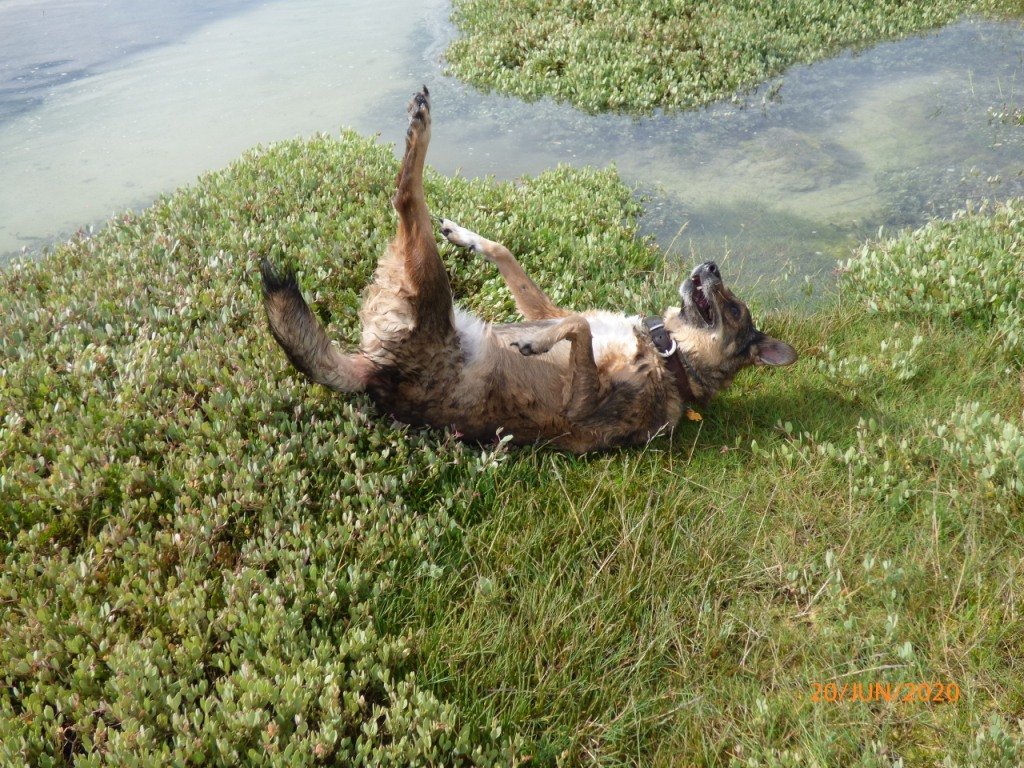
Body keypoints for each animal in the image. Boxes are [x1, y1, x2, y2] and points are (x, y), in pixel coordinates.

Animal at [260, 87, 797, 453]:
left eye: (733, 308)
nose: (711, 264)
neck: (670, 353)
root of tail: (375, 374)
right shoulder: (546, 305)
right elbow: (515, 264)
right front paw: (471, 237)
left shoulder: (582, 405)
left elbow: (575, 327)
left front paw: (534, 342)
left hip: (429, 291)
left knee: (406, 197)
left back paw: (420, 126)